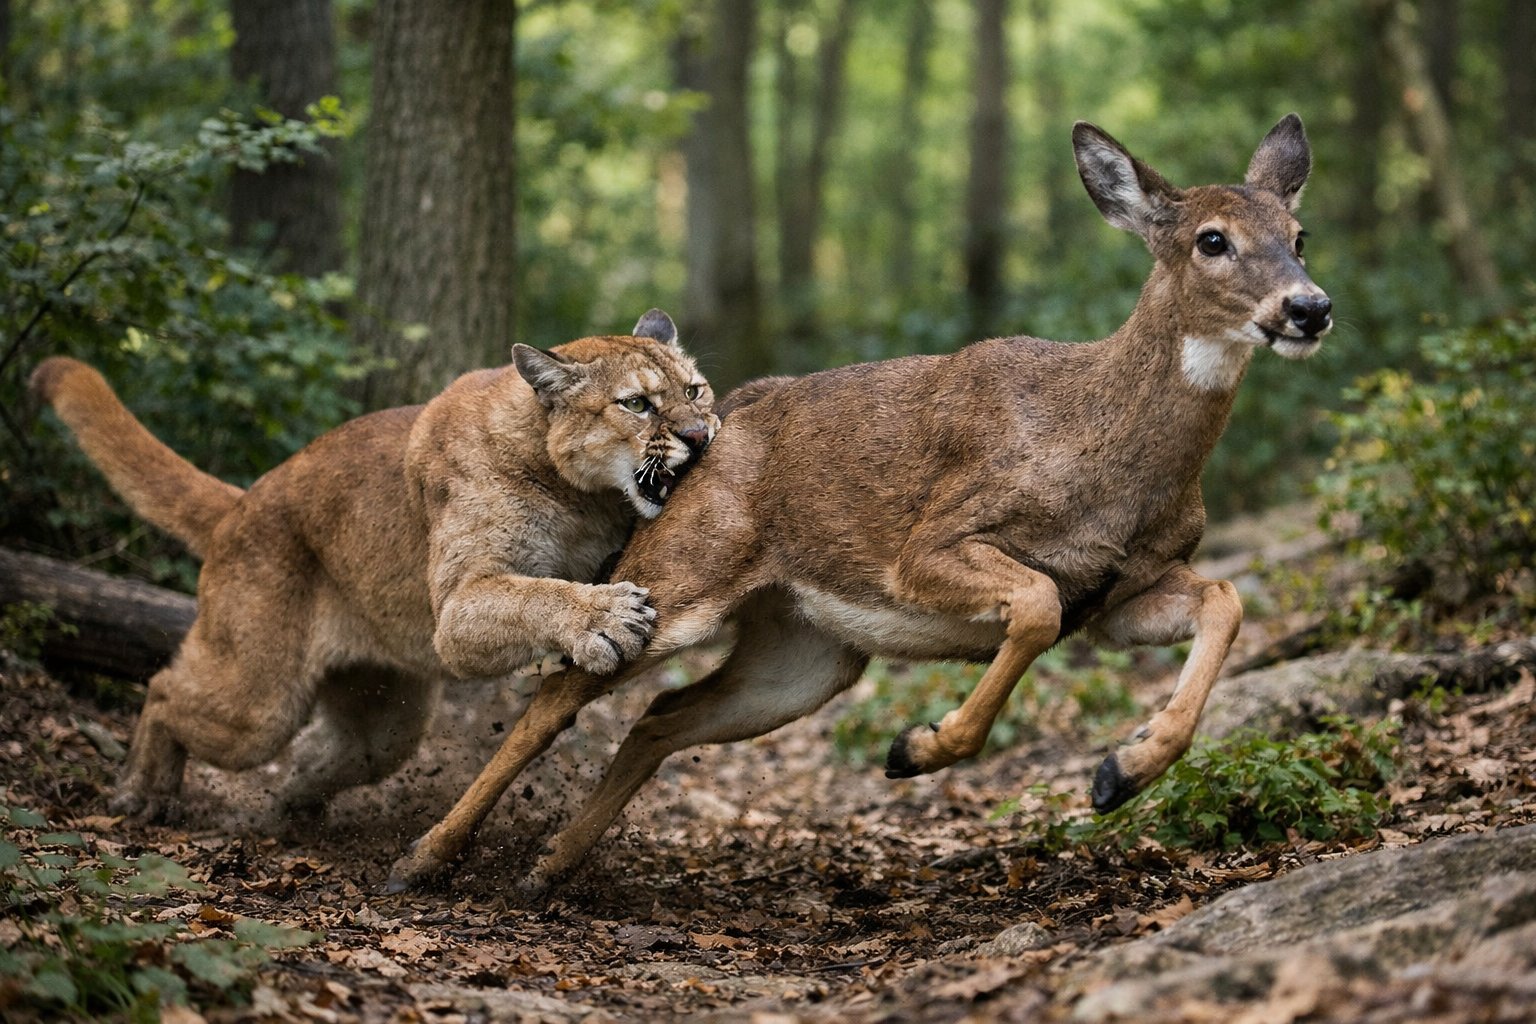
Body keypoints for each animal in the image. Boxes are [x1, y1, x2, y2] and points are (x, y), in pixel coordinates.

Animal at [384, 114, 1333, 895]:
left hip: (804, 655)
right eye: (1211, 239)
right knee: (558, 695)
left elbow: (1226, 598)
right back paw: (423, 860)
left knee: (658, 717)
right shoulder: (933, 544)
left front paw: (1121, 772)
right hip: (682, 579)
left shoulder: (1121, 596)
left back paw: (548, 867)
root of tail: (712, 433)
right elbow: (1033, 603)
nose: (1310, 307)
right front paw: (922, 746)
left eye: (1299, 234)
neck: (1108, 458)